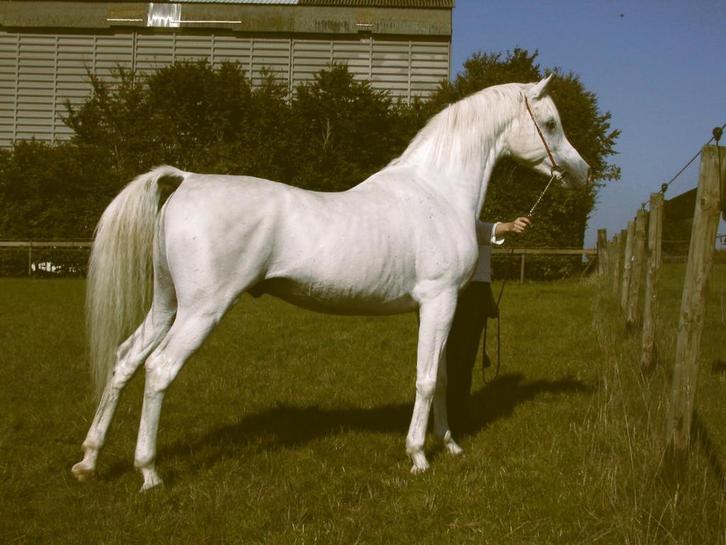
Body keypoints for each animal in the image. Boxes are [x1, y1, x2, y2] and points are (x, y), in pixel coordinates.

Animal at [71, 75, 590, 491]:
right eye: (549, 123)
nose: (581, 172)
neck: (437, 191)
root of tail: (188, 179)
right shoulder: (439, 301)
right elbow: (425, 380)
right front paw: (418, 456)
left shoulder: (435, 310)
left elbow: (440, 377)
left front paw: (450, 445)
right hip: (202, 310)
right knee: (159, 369)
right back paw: (149, 472)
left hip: (166, 304)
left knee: (126, 359)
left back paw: (90, 460)